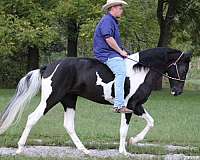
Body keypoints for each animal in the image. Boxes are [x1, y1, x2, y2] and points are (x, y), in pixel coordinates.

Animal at [0, 47, 191, 155]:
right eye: (182, 67)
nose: (177, 91)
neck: (140, 71)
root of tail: (48, 67)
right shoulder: (128, 106)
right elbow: (123, 130)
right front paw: (123, 151)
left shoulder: (136, 106)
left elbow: (151, 122)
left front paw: (133, 141)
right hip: (51, 99)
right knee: (32, 118)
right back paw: (20, 149)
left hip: (69, 100)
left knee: (69, 125)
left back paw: (85, 150)